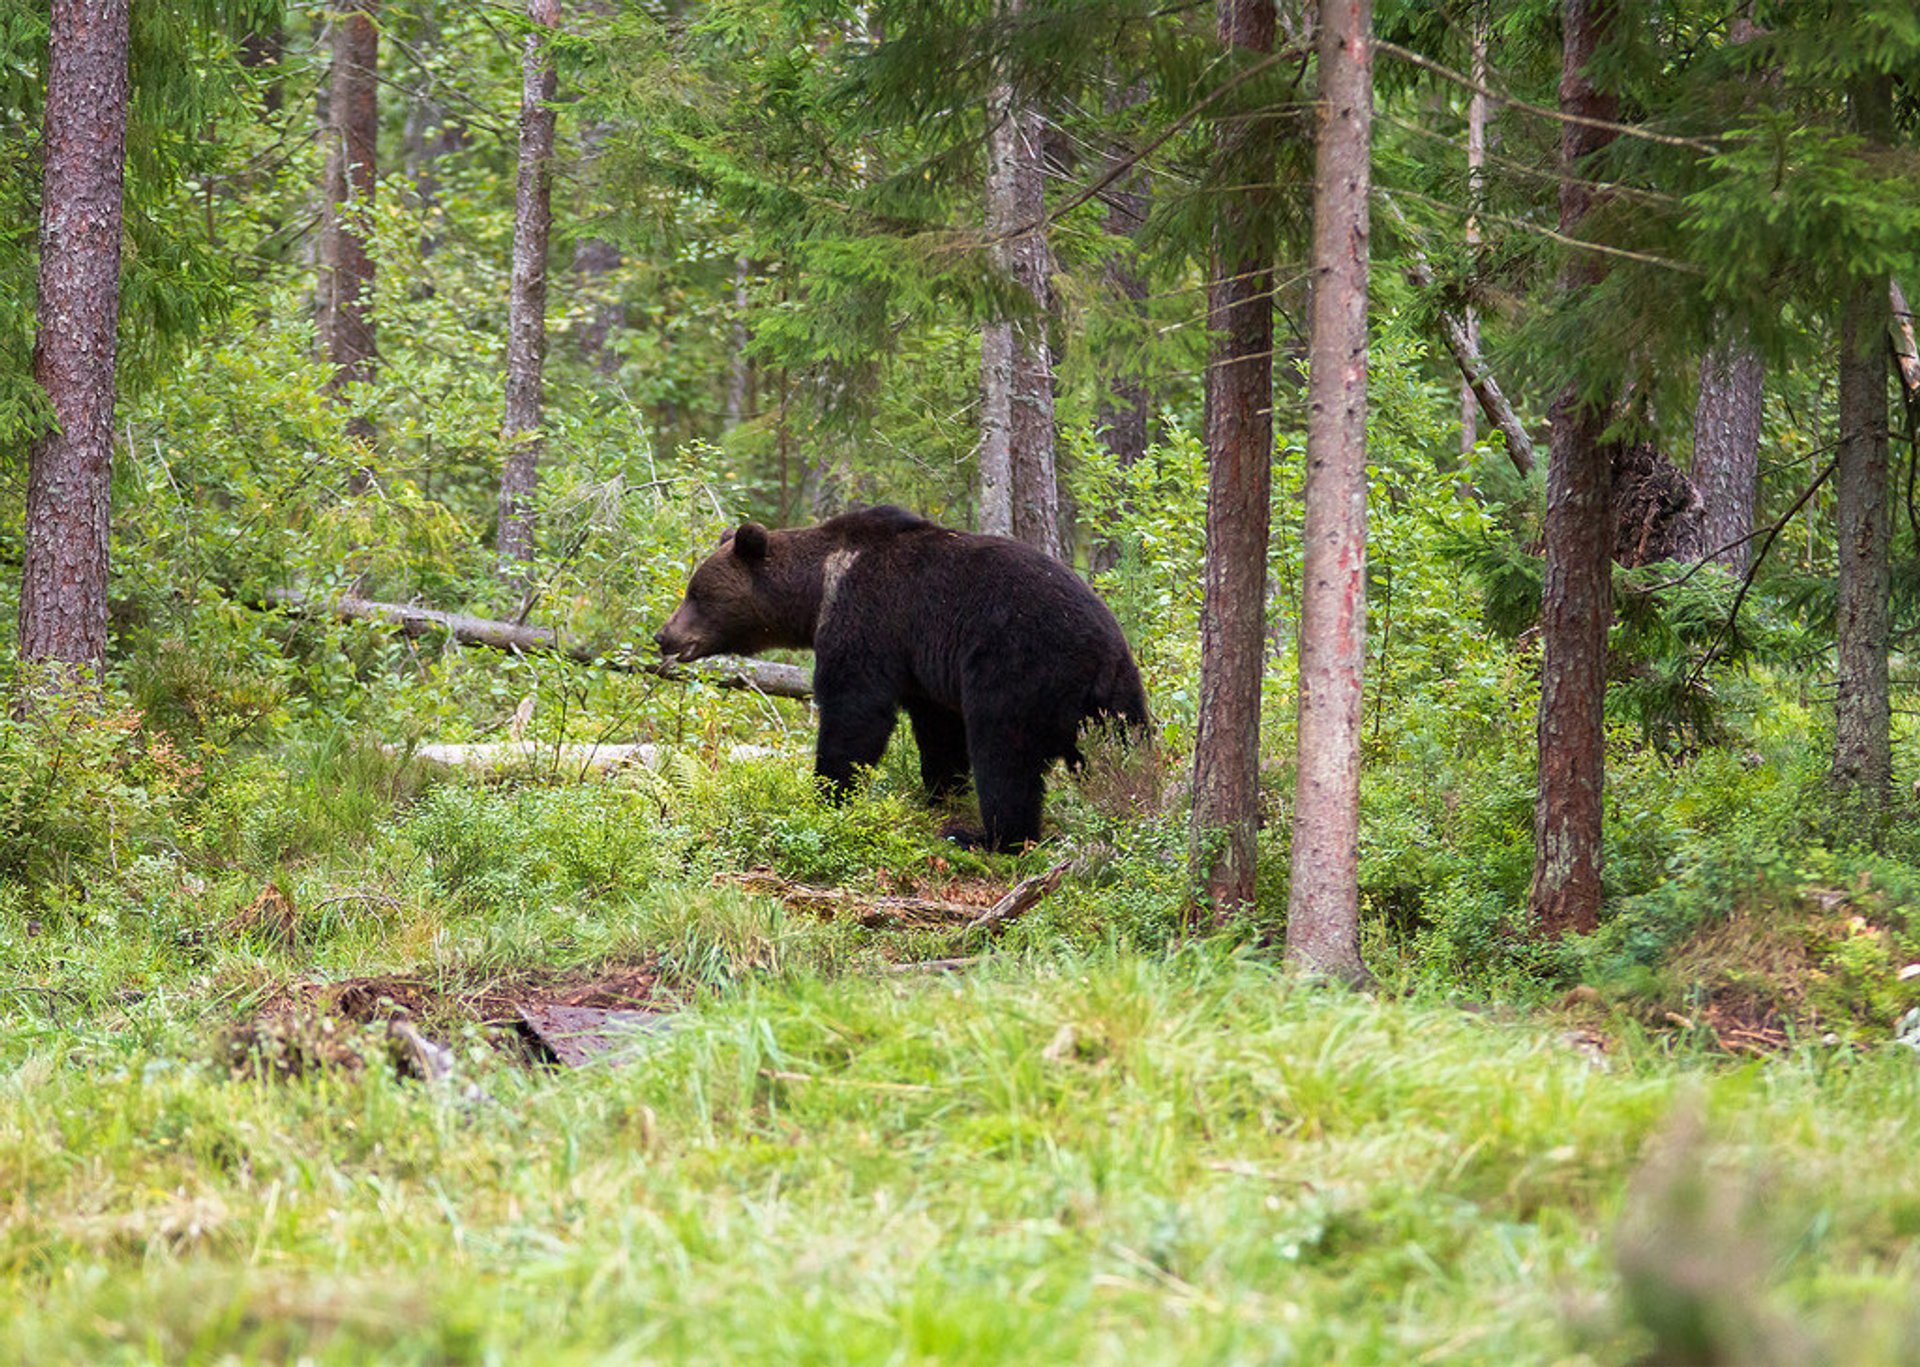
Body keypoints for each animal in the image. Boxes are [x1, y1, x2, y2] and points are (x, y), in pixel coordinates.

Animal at [652, 503, 1144, 844]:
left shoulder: (869, 619)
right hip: (1116, 697)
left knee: (1005, 753)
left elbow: (855, 712)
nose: (663, 635)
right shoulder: (925, 670)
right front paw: (939, 791)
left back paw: (984, 837)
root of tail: (1098, 652)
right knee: (1124, 751)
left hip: (1018, 668)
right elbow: (939, 732)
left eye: (698, 594)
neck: (817, 591)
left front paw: (827, 792)